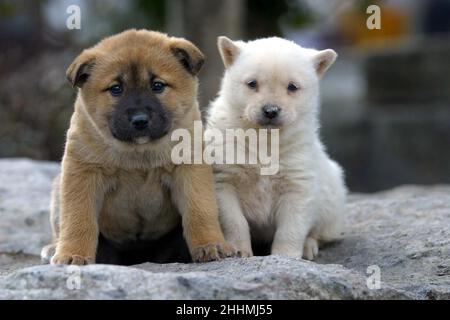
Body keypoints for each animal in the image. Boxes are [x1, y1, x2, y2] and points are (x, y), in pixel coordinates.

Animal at [40, 29, 237, 264]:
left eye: (157, 86)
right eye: (116, 89)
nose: (140, 120)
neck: (138, 154)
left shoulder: (190, 169)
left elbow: (200, 211)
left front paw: (209, 245)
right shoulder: (82, 172)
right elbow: (78, 219)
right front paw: (73, 254)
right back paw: (53, 248)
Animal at [208, 36, 348, 260]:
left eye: (292, 86)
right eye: (252, 83)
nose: (271, 110)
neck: (264, 138)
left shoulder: (298, 171)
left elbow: (293, 222)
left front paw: (286, 256)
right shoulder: (224, 169)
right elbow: (232, 217)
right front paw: (239, 251)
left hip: (333, 195)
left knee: (325, 228)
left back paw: (309, 246)